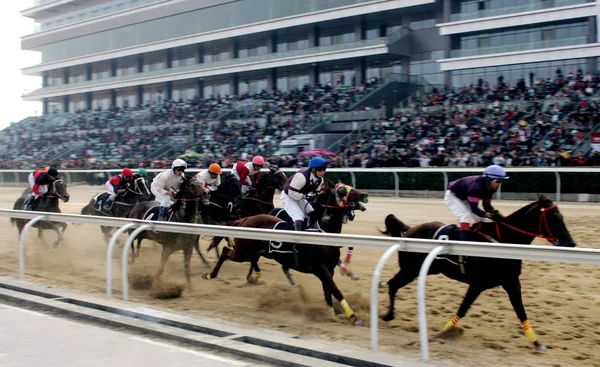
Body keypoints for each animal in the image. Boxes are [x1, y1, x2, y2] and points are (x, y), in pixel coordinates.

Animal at [203, 180, 370, 326]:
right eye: (341, 190)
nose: (363, 194)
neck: (322, 232)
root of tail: (246, 219)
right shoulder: (319, 268)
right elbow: (336, 290)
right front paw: (353, 317)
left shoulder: (329, 269)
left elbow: (328, 291)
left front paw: (331, 312)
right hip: (243, 251)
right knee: (226, 251)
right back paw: (210, 275)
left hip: (256, 251)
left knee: (252, 259)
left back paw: (255, 277)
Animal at [380, 196, 576, 354]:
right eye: (554, 217)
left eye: (561, 217)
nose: (571, 243)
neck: (503, 242)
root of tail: (410, 230)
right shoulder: (477, 284)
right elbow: (463, 309)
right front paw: (444, 333)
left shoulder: (511, 282)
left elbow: (521, 312)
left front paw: (537, 343)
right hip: (410, 270)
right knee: (392, 284)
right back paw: (387, 315)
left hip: (424, 270)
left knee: (393, 284)